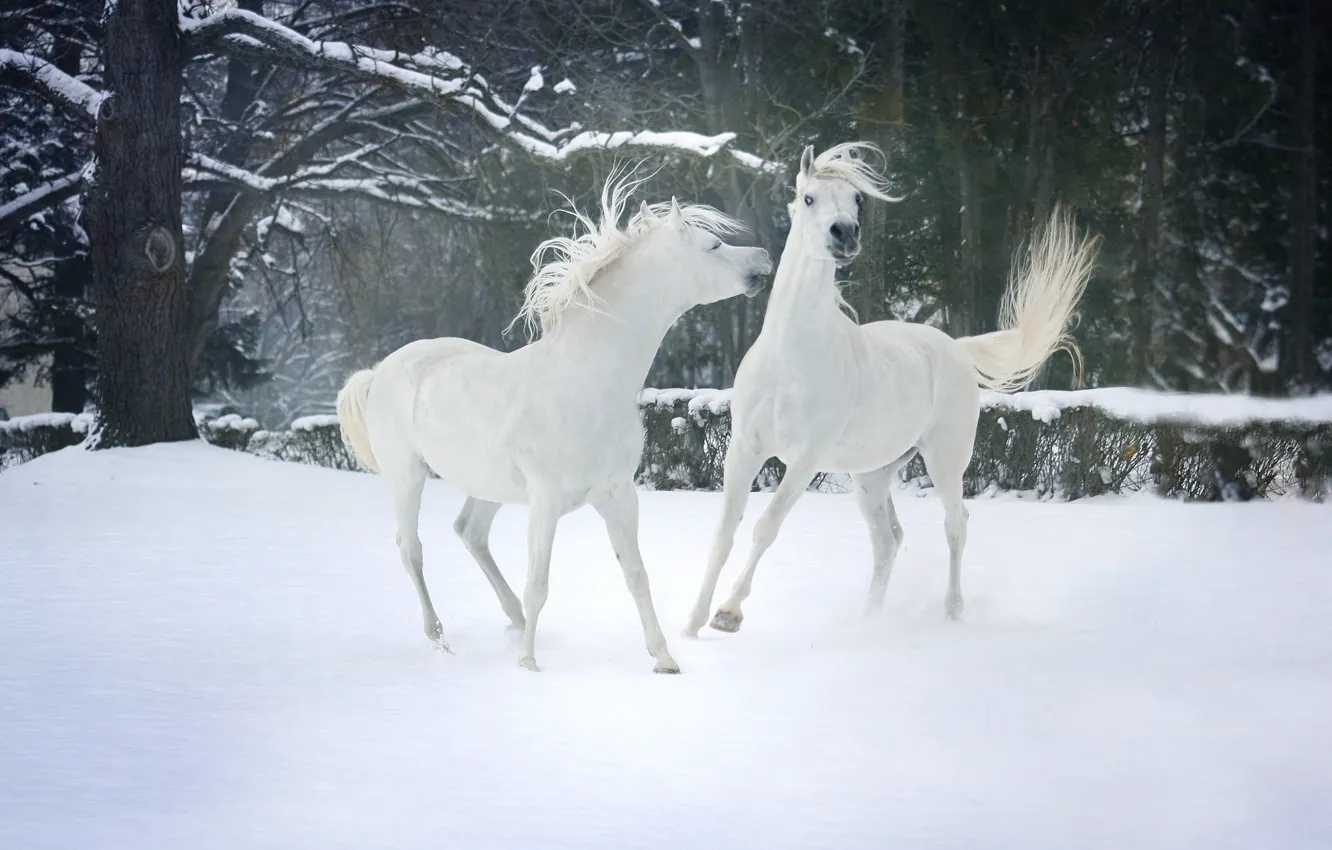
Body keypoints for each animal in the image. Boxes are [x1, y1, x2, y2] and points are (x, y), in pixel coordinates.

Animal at [337, 169, 772, 672]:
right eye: (713, 246)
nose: (763, 258)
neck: (585, 381)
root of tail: (378, 373)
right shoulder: (545, 502)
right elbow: (540, 583)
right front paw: (529, 664)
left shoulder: (618, 496)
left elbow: (636, 574)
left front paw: (664, 658)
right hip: (406, 477)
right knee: (412, 550)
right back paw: (441, 637)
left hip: (487, 485)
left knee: (470, 533)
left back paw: (514, 620)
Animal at [684, 142, 1099, 637]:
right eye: (808, 197)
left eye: (857, 199)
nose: (845, 233)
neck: (790, 355)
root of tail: (955, 348)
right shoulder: (744, 449)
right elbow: (724, 531)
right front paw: (690, 625)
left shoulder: (804, 460)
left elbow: (766, 525)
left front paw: (728, 614)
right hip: (871, 475)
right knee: (887, 540)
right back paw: (869, 619)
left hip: (945, 460)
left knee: (955, 524)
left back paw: (952, 612)